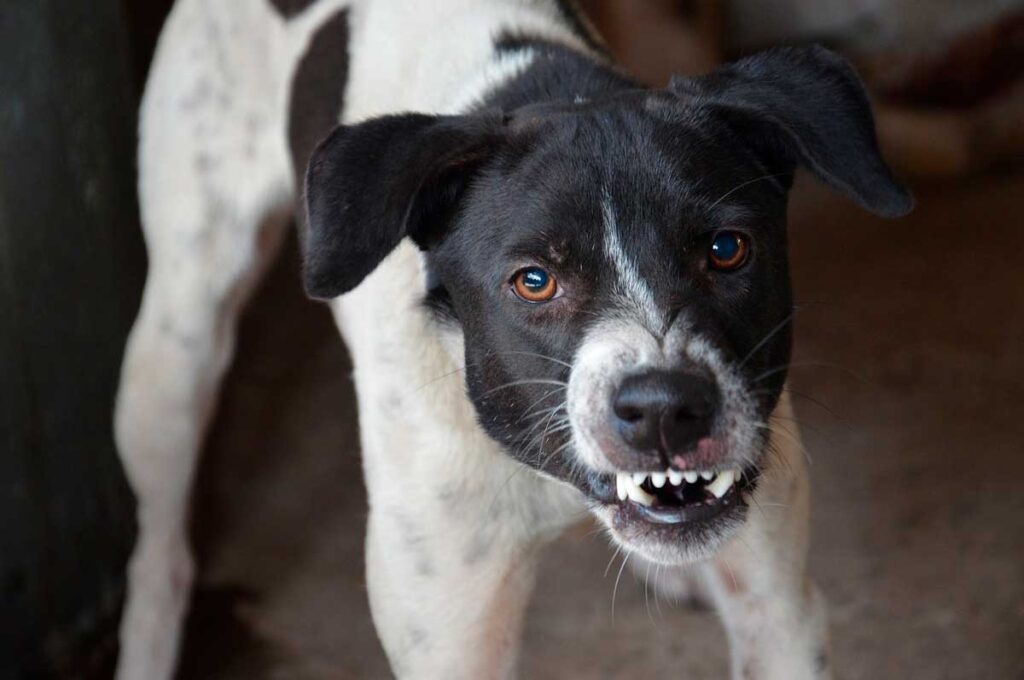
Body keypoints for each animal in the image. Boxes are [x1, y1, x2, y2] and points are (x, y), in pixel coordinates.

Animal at [112, 2, 913, 675]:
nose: (664, 409)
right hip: (177, 342)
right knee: (160, 551)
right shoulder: (451, 638)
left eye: (726, 249)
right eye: (533, 281)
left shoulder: (780, 614)